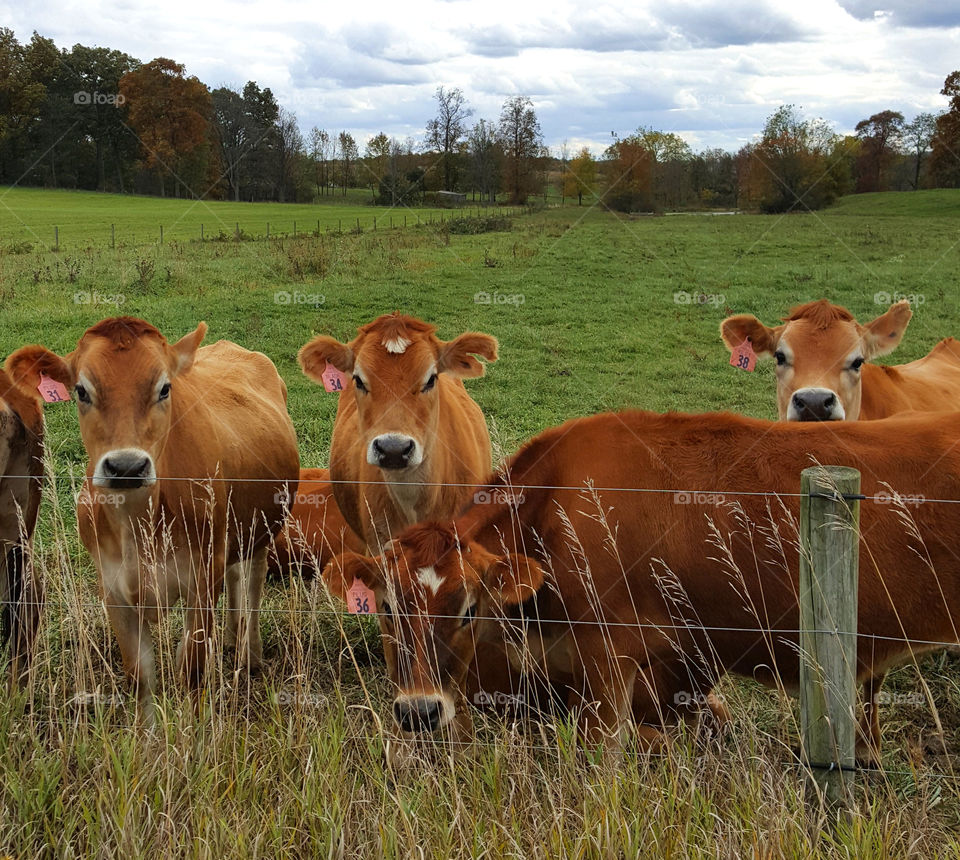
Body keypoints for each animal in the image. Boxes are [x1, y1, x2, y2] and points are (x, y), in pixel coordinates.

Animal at [7, 317, 299, 722]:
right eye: (81, 390)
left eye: (164, 388)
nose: (127, 466)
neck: (136, 523)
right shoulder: (113, 589)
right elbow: (140, 675)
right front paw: (146, 736)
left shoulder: (202, 579)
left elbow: (192, 668)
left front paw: (193, 735)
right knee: (237, 577)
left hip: (263, 525)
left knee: (253, 579)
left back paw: (248, 653)